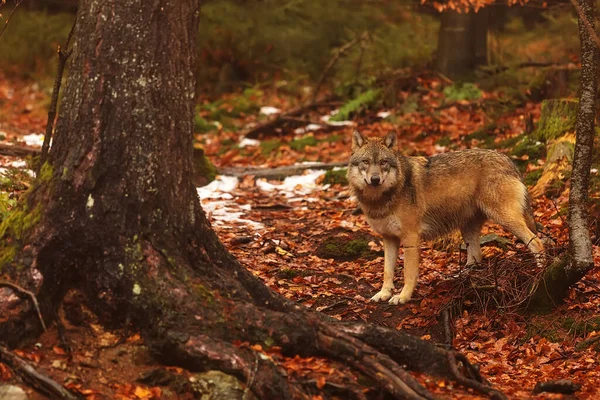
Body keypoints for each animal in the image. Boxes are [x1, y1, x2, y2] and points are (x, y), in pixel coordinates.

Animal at [350, 130, 548, 304]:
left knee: (536, 241)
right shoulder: (389, 238)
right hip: (468, 227)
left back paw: (541, 273)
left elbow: (408, 273)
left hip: (505, 218)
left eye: (383, 162)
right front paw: (383, 293)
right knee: (476, 256)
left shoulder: (411, 237)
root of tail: (507, 159)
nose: (375, 179)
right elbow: (387, 271)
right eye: (366, 162)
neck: (383, 198)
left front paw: (403, 297)